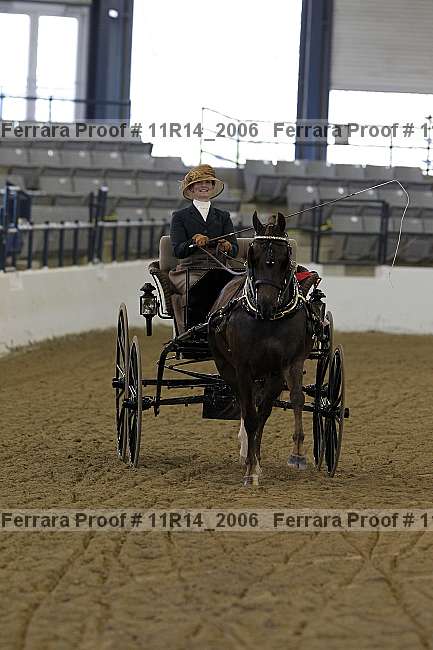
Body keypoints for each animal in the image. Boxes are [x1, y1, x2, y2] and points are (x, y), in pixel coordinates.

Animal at [208, 212, 314, 486]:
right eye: (252, 254)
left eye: (285, 257)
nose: (265, 304)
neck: (267, 319)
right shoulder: (243, 368)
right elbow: (251, 415)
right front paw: (250, 470)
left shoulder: (285, 365)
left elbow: (289, 402)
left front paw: (296, 455)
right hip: (227, 367)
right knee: (245, 407)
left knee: (260, 410)